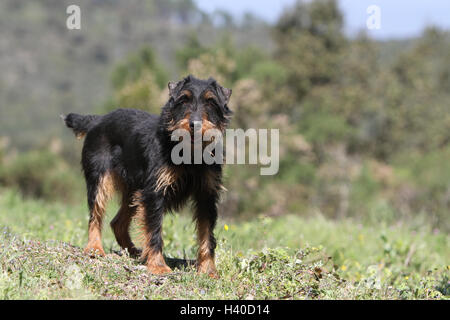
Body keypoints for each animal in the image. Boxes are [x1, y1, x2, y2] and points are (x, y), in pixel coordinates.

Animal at [62, 75, 232, 278]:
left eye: (211, 101)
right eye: (184, 99)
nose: (195, 125)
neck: (189, 153)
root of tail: (97, 120)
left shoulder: (206, 196)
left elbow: (207, 234)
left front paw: (208, 269)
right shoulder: (154, 192)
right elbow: (154, 230)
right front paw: (158, 265)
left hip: (133, 191)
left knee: (117, 223)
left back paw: (134, 251)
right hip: (100, 180)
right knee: (96, 215)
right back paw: (95, 248)